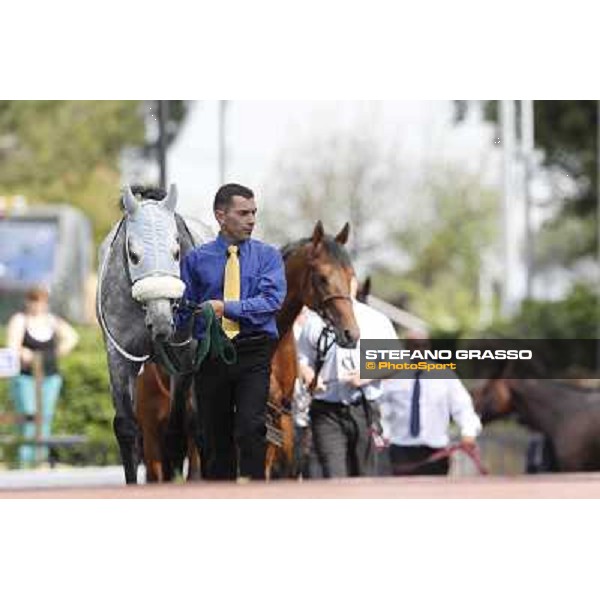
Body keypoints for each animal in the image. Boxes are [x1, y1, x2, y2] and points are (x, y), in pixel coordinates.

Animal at [96, 185, 211, 486]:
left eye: (176, 251)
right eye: (133, 254)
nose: (161, 322)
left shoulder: (184, 355)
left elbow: (177, 430)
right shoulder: (118, 354)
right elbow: (126, 428)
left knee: (195, 424)